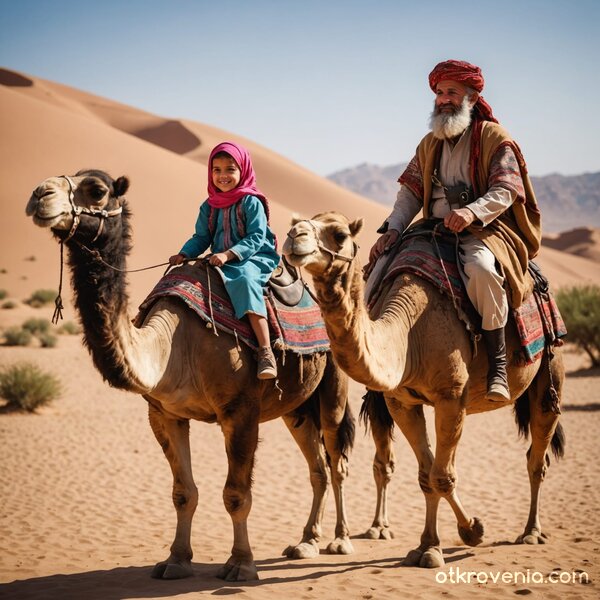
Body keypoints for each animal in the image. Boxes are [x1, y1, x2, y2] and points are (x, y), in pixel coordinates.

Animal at [25, 172, 356, 580]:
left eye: (97, 190)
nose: (40, 194)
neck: (170, 345)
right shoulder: (164, 413)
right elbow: (183, 492)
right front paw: (175, 560)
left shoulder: (240, 411)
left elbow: (236, 494)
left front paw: (241, 564)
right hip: (295, 407)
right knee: (317, 468)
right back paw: (306, 542)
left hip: (333, 388)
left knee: (337, 461)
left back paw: (340, 541)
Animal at [284, 213, 564, 568]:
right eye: (300, 223)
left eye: (340, 234)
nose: (295, 236)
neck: (409, 333)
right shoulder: (402, 401)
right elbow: (427, 474)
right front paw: (428, 545)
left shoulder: (450, 397)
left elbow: (441, 476)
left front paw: (469, 532)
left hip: (550, 366)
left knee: (537, 454)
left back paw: (531, 532)